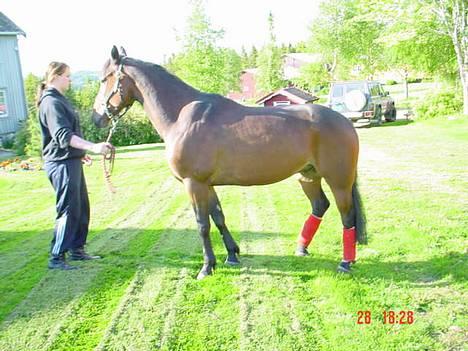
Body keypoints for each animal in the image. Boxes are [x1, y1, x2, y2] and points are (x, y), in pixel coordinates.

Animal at [93, 46, 368, 280]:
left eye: (104, 78)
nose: (96, 117)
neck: (182, 117)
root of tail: (344, 121)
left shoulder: (194, 184)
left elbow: (202, 224)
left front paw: (206, 267)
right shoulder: (207, 184)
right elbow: (218, 217)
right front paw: (232, 255)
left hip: (339, 181)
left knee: (347, 215)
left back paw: (345, 263)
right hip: (308, 176)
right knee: (320, 206)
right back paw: (301, 248)